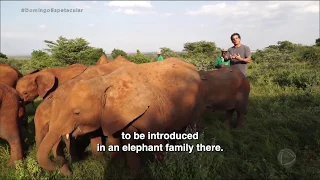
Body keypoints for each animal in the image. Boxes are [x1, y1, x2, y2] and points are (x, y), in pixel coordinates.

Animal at [36, 57, 204, 176]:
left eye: (77, 112)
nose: (58, 164)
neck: (104, 83)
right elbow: (128, 140)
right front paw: (133, 174)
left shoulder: (151, 109)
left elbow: (154, 139)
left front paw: (161, 170)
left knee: (192, 128)